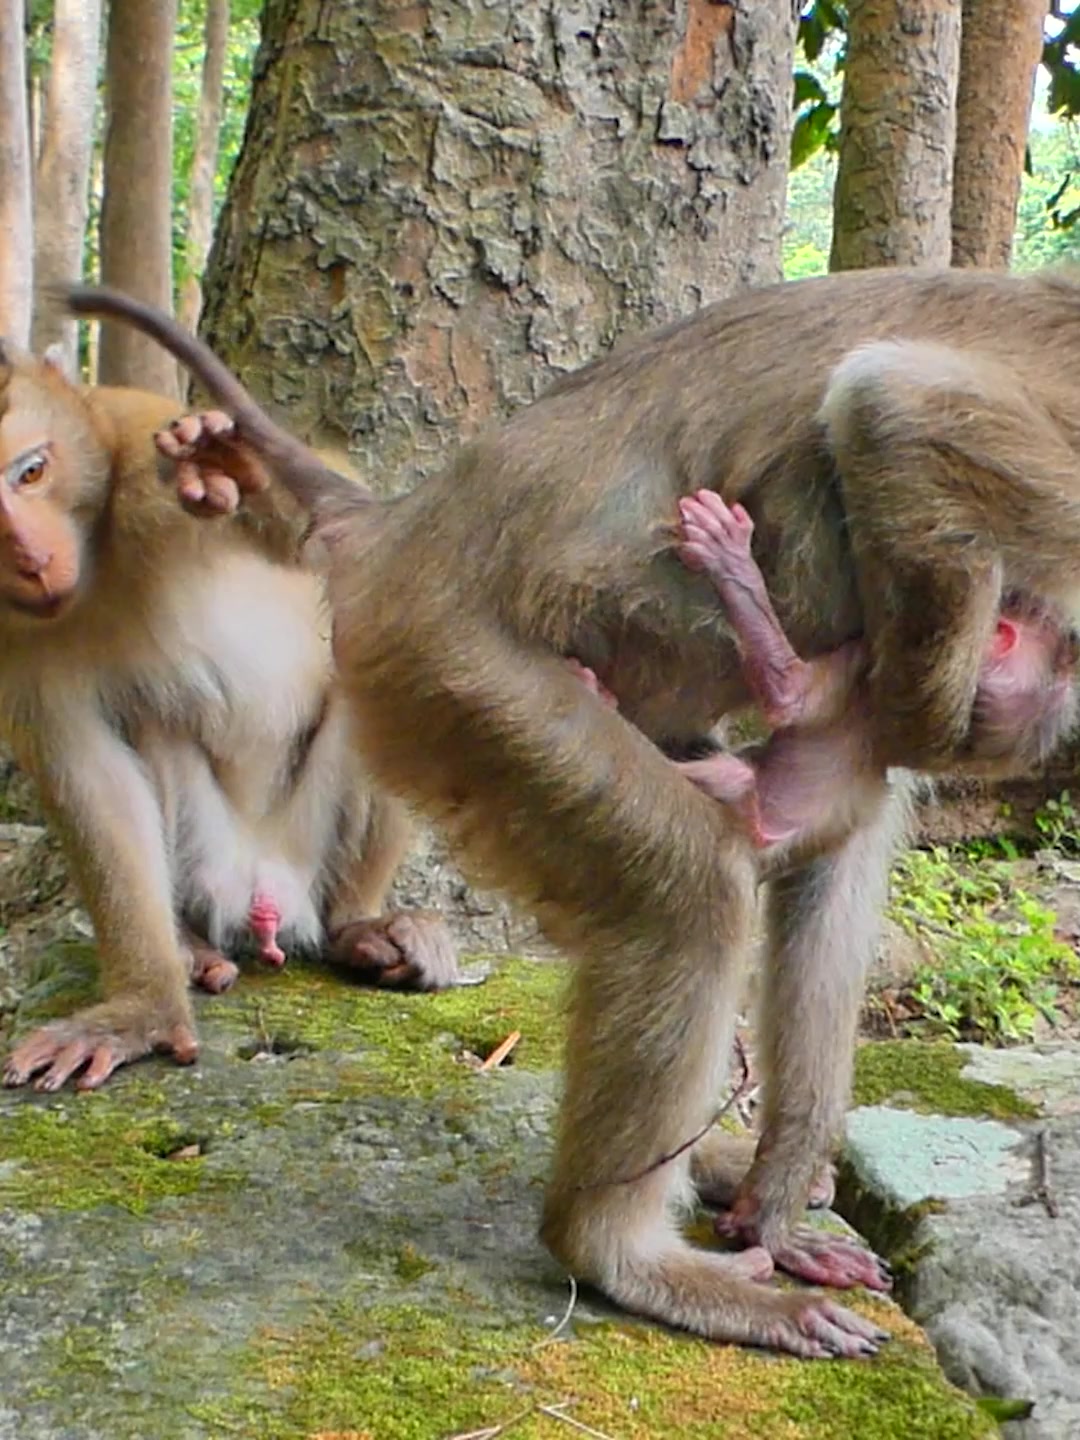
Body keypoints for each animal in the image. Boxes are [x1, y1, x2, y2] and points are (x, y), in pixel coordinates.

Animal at [0, 350, 458, 1095]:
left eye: (32, 471)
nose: (32, 559)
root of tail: (267, 895)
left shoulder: (141, 446)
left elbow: (355, 534)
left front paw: (231, 462)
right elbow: (90, 776)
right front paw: (141, 1011)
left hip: (311, 848)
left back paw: (358, 926)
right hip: (208, 860)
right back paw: (189, 948)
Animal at [65, 267, 1080, 1359]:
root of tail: (402, 527)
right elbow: (890, 403)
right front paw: (912, 699)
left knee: (766, 870)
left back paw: (730, 1219)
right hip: (447, 668)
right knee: (696, 889)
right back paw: (631, 1248)